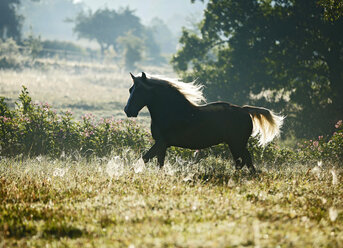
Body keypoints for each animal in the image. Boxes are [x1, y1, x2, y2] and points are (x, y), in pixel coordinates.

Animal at [124, 71, 284, 172]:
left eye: (139, 91)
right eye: (130, 89)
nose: (127, 110)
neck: (171, 111)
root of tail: (245, 110)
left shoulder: (162, 143)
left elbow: (148, 160)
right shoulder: (161, 144)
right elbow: (152, 161)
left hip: (236, 143)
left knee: (243, 161)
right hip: (237, 144)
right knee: (245, 161)